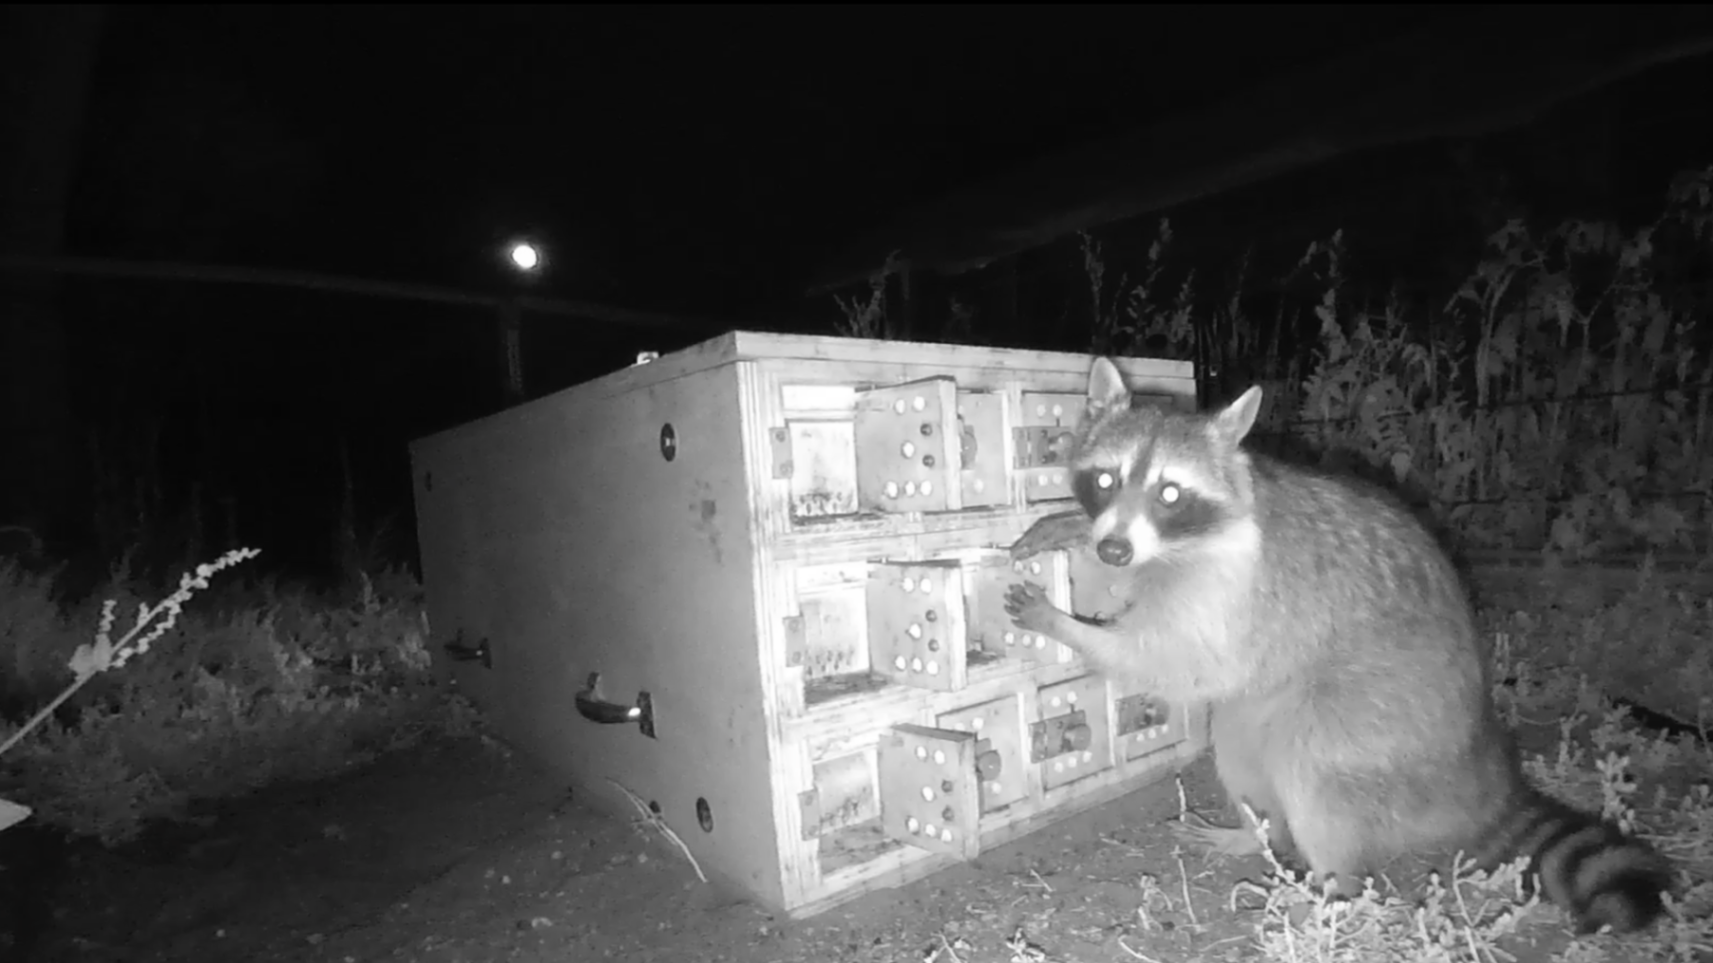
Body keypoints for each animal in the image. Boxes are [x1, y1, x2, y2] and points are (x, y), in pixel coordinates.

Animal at [1004, 358, 1673, 935]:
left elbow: (1170, 662)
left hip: (1376, 718)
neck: (1183, 541)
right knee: (1240, 746)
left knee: (1314, 773)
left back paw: (1331, 891)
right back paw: (1258, 834)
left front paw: (1066, 625)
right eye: (1106, 479)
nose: (1114, 549)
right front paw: (1071, 528)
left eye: (1170, 494)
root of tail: (1475, 751)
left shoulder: (1225, 591)